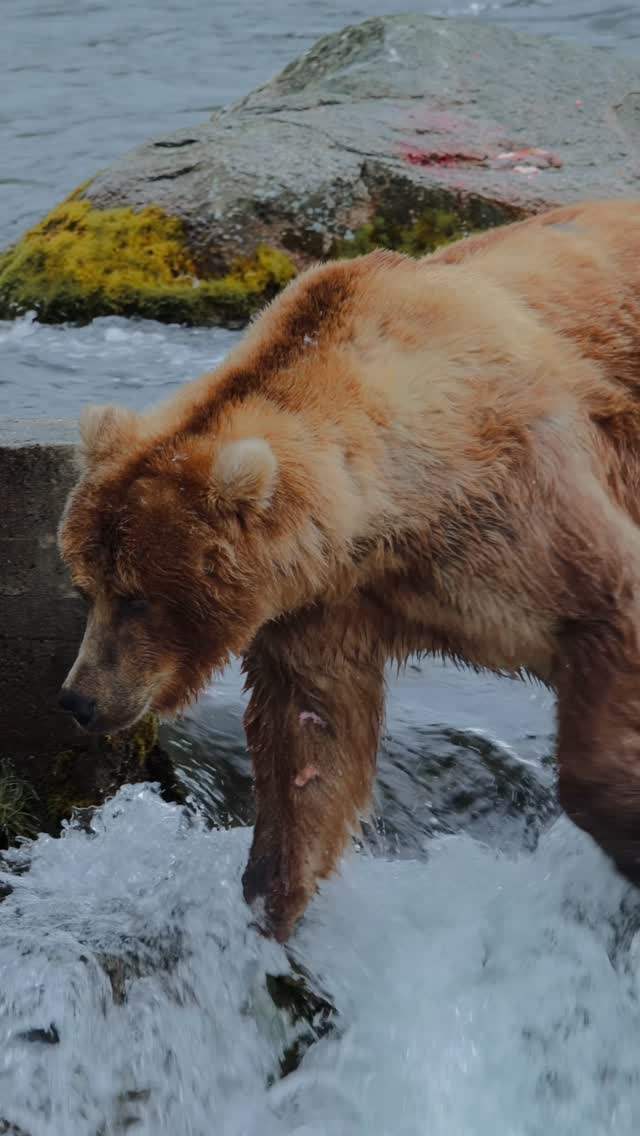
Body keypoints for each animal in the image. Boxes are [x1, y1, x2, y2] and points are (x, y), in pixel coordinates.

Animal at [58, 198, 640, 942]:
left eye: (139, 598)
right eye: (86, 586)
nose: (79, 698)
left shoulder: (520, 505)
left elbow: (603, 603)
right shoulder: (322, 604)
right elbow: (312, 741)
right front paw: (272, 899)